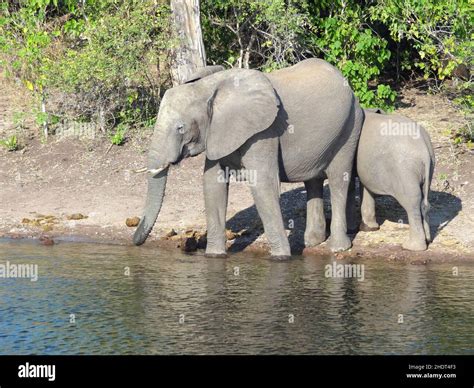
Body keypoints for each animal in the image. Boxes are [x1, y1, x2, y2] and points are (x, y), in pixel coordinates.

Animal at [133, 58, 362, 258]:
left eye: (180, 128)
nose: (136, 240)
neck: (209, 86)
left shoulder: (263, 131)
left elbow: (263, 185)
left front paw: (281, 258)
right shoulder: (218, 132)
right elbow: (212, 185)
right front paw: (214, 257)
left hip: (350, 126)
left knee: (338, 180)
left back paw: (338, 248)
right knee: (312, 181)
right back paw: (312, 242)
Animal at [358, 108, 436, 252]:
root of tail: (424, 149)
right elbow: (366, 186)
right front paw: (369, 228)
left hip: (404, 170)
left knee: (412, 202)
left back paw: (411, 247)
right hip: (430, 166)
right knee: (424, 199)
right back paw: (428, 240)